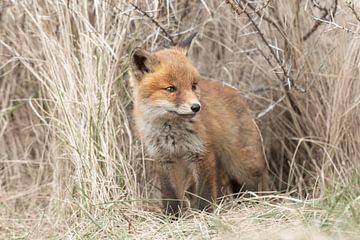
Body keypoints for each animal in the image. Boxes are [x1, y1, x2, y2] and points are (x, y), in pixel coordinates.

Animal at [128, 34, 268, 216]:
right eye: (170, 88)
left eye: (193, 85)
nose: (196, 107)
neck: (171, 132)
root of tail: (238, 95)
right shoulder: (164, 158)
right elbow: (170, 196)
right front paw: (172, 218)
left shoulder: (201, 153)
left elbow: (205, 194)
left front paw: (206, 215)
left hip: (244, 166)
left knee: (258, 182)